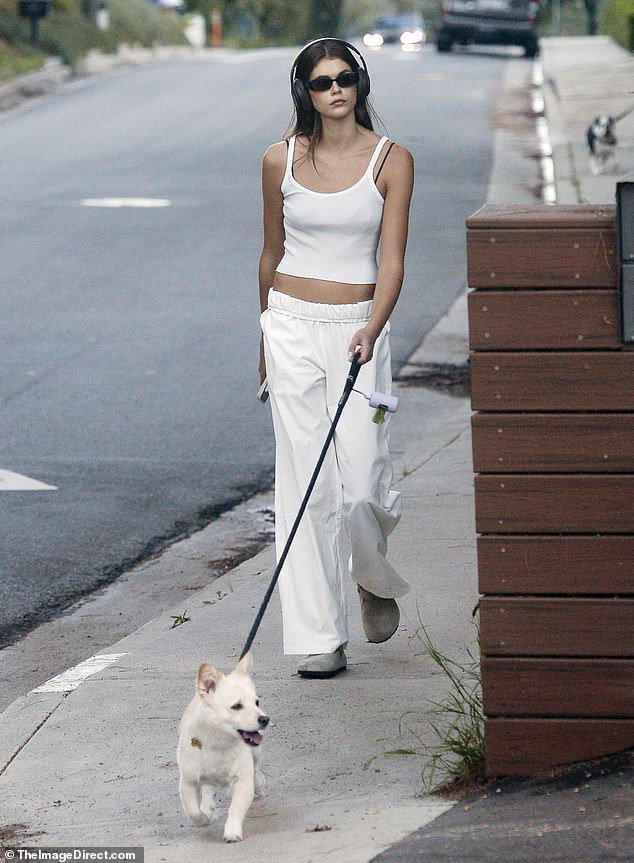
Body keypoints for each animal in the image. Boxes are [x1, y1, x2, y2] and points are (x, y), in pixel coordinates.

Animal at [177, 656, 268, 844]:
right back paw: (207, 805)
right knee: (207, 787)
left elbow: (235, 809)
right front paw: (203, 819)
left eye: (257, 702)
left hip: (256, 753)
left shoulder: (242, 782)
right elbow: (192, 810)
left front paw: (232, 831)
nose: (265, 719)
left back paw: (259, 785)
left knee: (256, 768)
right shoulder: (187, 782)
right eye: (237, 706)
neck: (218, 741)